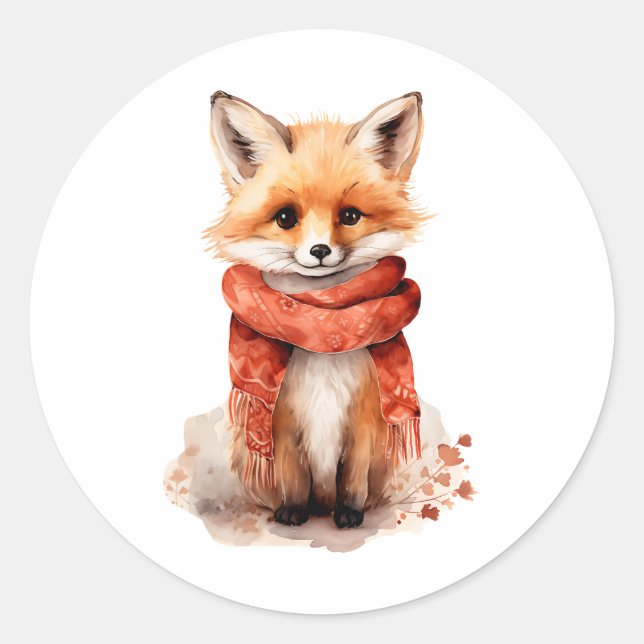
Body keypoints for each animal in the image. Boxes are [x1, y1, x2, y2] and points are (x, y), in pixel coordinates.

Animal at [206, 90, 426, 529]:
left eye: (350, 216)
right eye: (286, 217)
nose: (320, 250)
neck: (323, 322)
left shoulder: (365, 421)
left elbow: (353, 478)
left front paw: (349, 513)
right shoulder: (281, 422)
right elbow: (293, 476)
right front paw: (293, 511)